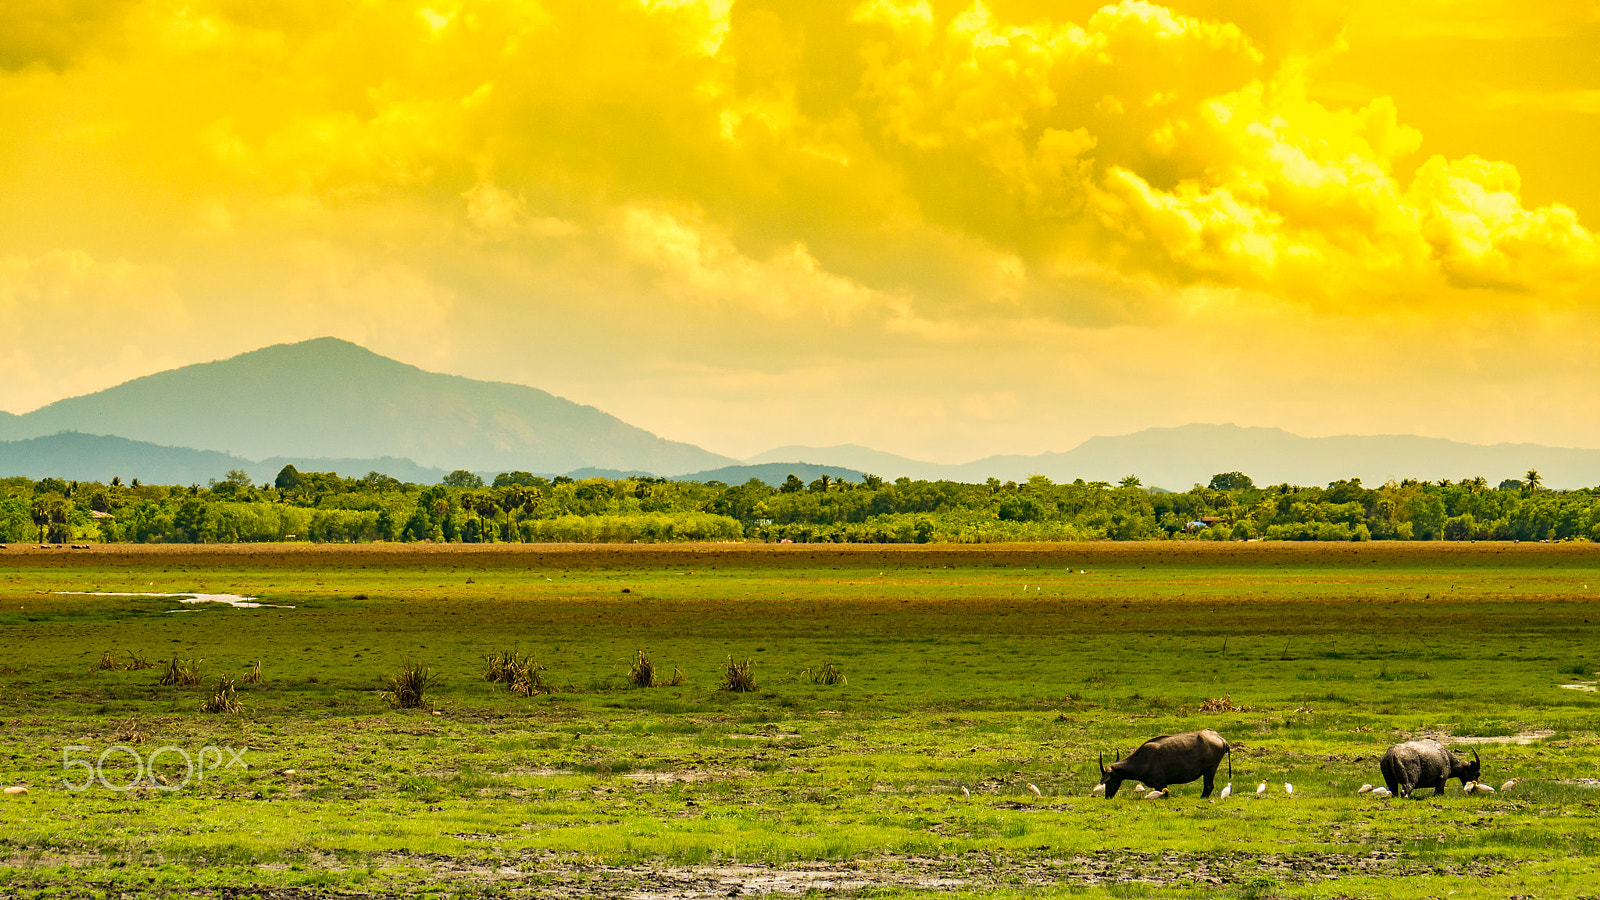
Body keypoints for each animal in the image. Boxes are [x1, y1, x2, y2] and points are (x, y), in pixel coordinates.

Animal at [1094, 723, 1228, 794]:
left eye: (1110, 780)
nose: (1107, 795)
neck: (1143, 760)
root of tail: (1220, 738)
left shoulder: (1161, 784)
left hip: (1209, 770)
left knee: (1209, 786)